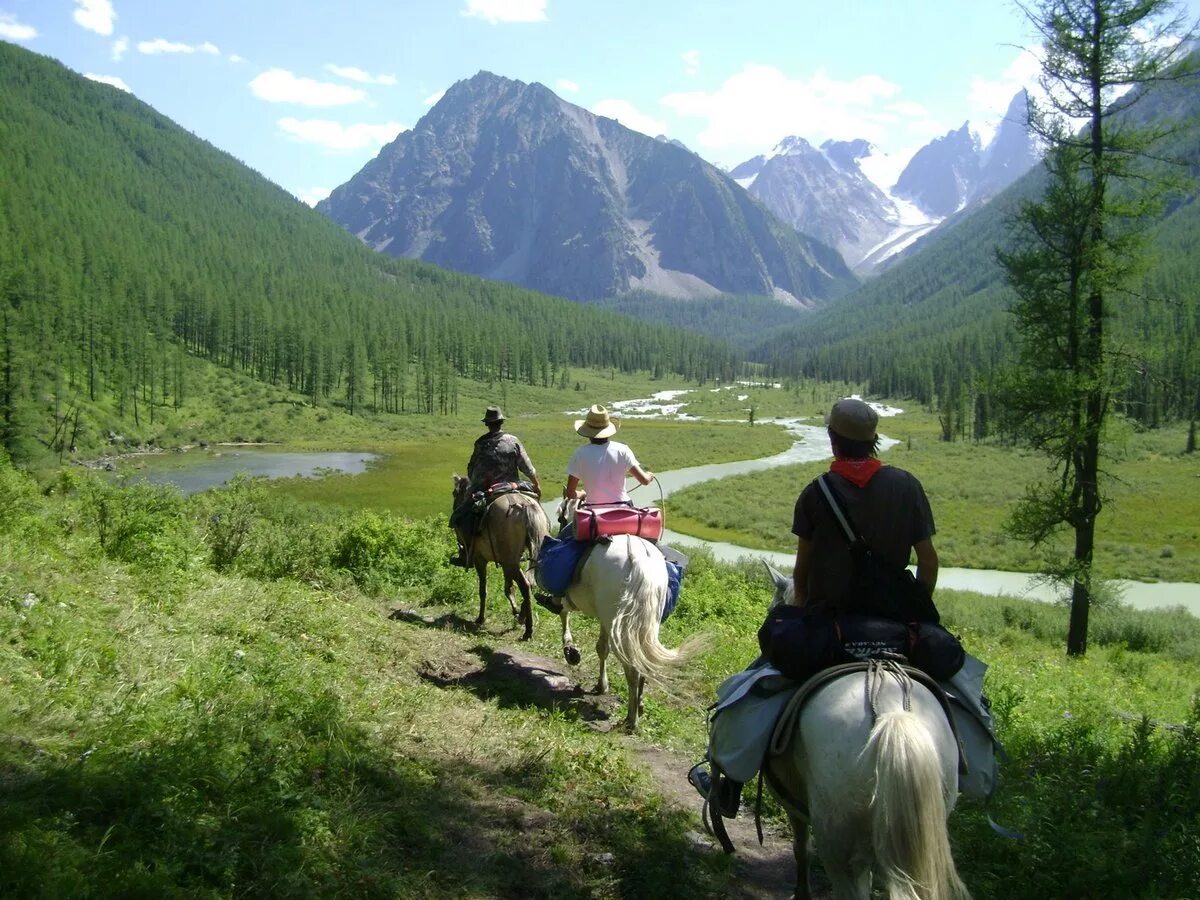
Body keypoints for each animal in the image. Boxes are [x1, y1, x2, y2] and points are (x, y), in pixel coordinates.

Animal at [451, 475, 549, 643]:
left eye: (454, 493)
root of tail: (524, 506)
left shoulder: (480, 560)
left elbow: (483, 589)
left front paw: (480, 618)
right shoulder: (503, 562)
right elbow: (508, 588)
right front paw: (515, 610)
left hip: (510, 562)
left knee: (525, 585)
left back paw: (528, 630)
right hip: (520, 558)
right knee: (530, 583)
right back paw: (523, 618)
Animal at [549, 496, 700, 734]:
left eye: (561, 518)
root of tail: (639, 563)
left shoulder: (571, 601)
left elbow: (564, 614)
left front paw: (571, 651)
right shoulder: (606, 619)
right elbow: (602, 648)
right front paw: (601, 684)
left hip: (621, 626)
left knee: (632, 668)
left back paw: (631, 719)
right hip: (640, 624)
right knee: (642, 659)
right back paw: (639, 705)